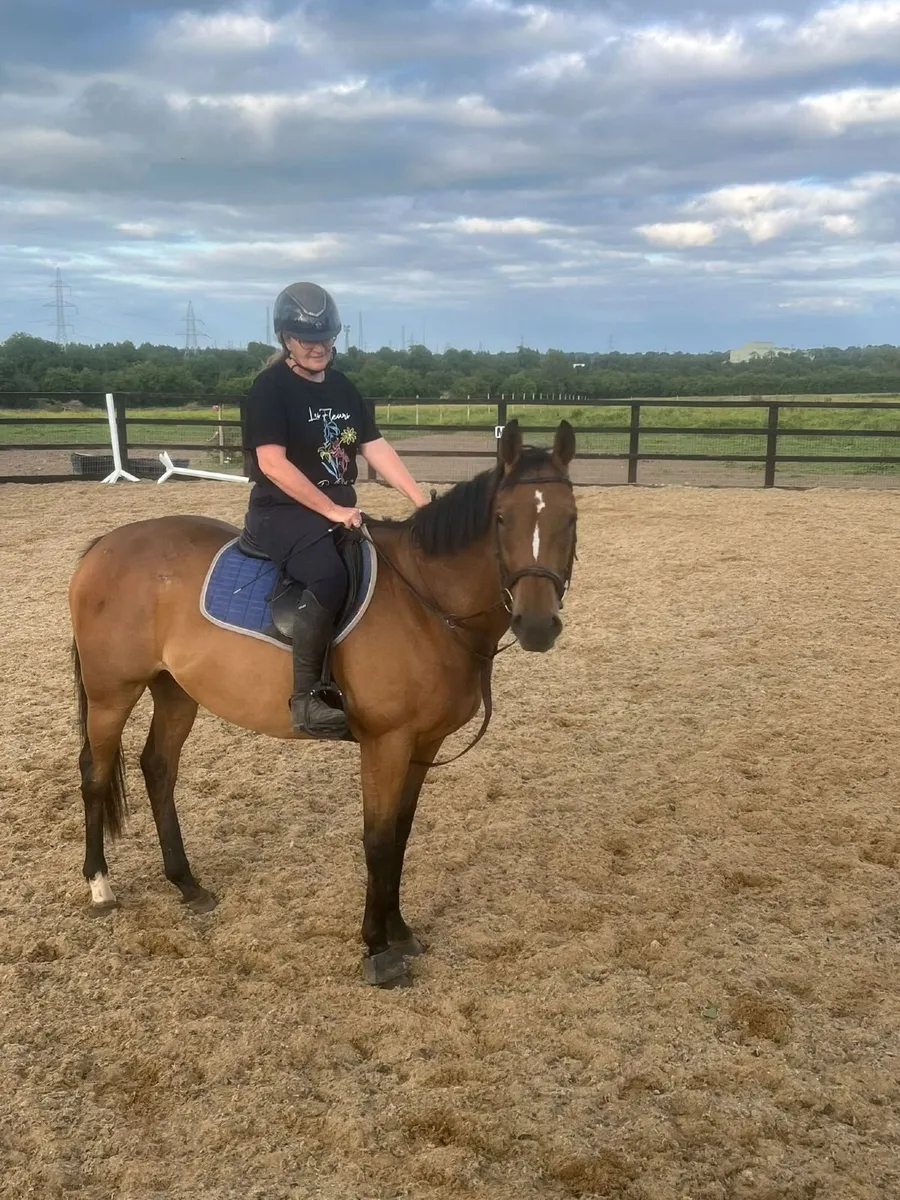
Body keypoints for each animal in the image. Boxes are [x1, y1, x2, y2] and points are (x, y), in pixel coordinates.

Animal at [67, 419, 579, 986]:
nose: (537, 625)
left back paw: (186, 883)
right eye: (502, 519)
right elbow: (377, 840)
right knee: (95, 773)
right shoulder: (386, 743)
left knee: (157, 767)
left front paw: (400, 930)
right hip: (112, 692)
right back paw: (100, 885)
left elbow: (400, 835)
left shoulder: (423, 744)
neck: (426, 603)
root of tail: (104, 546)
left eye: (571, 518)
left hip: (175, 689)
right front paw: (377, 949)